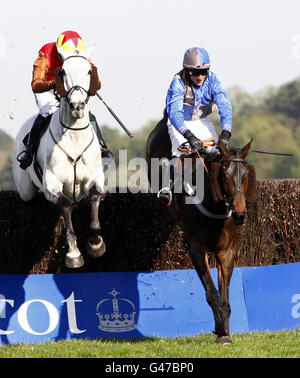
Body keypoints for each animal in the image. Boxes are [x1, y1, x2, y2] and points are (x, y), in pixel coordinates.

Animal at [12, 49, 106, 268]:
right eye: (62, 72)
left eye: (89, 71)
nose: (77, 106)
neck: (74, 137)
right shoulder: (52, 183)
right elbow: (64, 204)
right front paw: (73, 254)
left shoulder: (96, 177)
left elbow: (95, 196)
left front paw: (95, 244)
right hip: (25, 189)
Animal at [145, 118, 255, 342]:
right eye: (224, 174)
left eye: (246, 174)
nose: (239, 214)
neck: (214, 206)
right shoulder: (196, 247)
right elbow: (212, 293)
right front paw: (220, 331)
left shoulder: (226, 250)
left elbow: (224, 297)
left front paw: (224, 332)